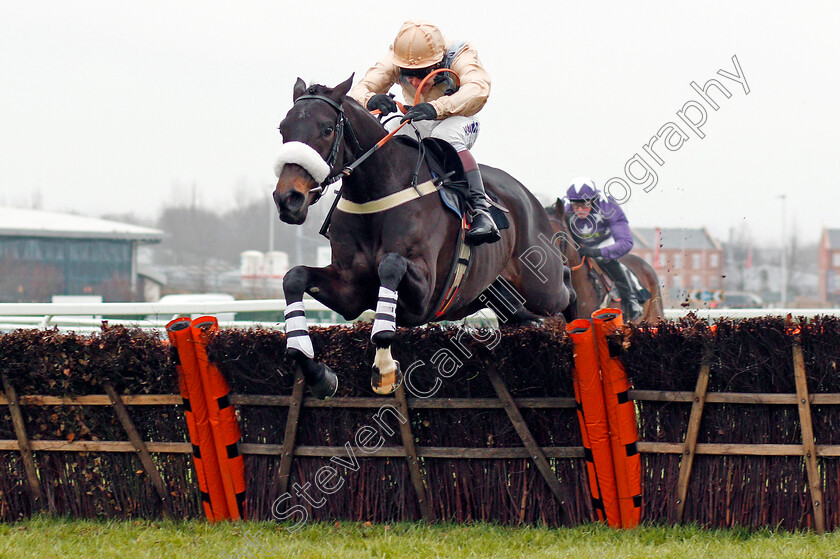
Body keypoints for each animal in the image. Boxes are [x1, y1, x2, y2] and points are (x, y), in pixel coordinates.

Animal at [274, 75, 572, 398]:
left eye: (327, 128)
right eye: (283, 129)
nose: (288, 199)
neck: (376, 194)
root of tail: (530, 199)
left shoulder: (425, 294)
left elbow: (390, 266)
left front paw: (385, 368)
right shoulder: (349, 290)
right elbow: (294, 277)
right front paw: (318, 373)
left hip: (542, 287)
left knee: (567, 290)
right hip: (499, 295)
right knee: (527, 315)